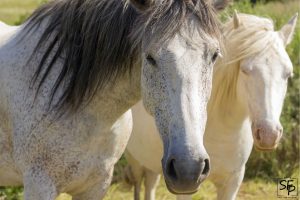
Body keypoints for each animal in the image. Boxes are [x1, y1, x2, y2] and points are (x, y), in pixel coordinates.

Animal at [125, 12, 298, 200]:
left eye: (288, 74)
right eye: (245, 70)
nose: (268, 135)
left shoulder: (232, 182)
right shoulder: (186, 185)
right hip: (135, 160)